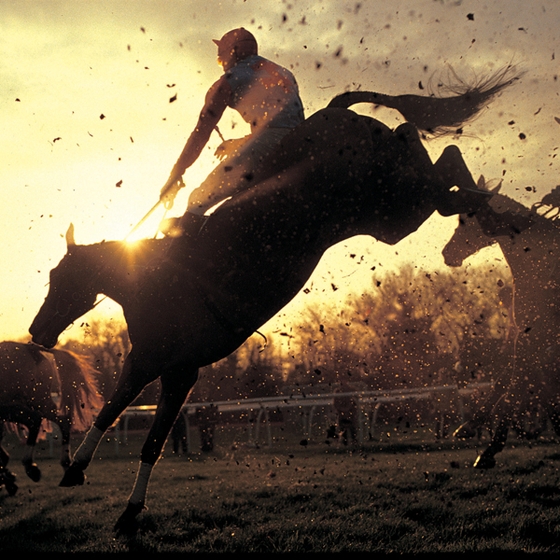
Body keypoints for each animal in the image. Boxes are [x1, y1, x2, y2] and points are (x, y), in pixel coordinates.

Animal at [0, 342, 101, 494]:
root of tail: (31, 348)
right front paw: (8, 479)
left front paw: (8, 480)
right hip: (33, 403)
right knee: (54, 421)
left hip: (33, 402)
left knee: (41, 420)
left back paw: (34, 466)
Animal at [29, 70, 520, 532]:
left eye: (59, 277)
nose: (37, 330)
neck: (149, 280)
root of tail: (335, 111)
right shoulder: (169, 368)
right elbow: (131, 424)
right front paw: (100, 488)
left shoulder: (162, 362)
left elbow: (130, 424)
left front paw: (100, 487)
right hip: (391, 211)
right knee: (429, 155)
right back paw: (485, 201)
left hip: (395, 201)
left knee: (439, 166)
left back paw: (486, 199)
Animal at [444, 185, 560, 468]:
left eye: (466, 218)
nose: (447, 253)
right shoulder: (529, 338)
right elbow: (508, 379)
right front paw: (472, 426)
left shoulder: (534, 337)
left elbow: (514, 385)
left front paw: (490, 447)